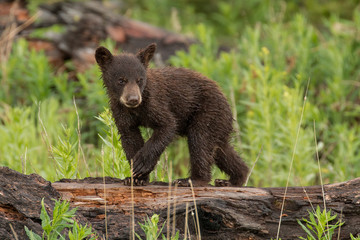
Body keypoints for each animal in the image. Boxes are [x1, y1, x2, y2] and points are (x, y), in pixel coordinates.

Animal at [94, 43, 249, 187]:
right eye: (121, 80)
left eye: (140, 80)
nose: (133, 99)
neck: (137, 108)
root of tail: (226, 101)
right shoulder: (120, 111)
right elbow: (130, 137)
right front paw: (135, 178)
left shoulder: (155, 103)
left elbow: (168, 125)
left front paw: (141, 164)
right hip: (218, 122)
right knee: (221, 149)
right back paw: (234, 178)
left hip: (208, 112)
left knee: (200, 141)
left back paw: (192, 180)